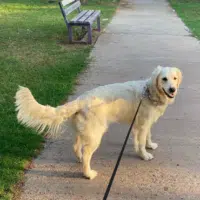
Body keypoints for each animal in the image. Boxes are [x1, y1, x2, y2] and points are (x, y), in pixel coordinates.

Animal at [14, 65, 182, 180]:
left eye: (174, 78)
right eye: (164, 79)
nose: (172, 89)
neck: (149, 92)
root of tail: (81, 99)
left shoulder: (145, 123)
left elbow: (147, 136)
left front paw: (150, 145)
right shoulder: (142, 124)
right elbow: (140, 142)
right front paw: (144, 155)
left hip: (84, 132)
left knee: (77, 148)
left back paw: (80, 160)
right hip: (95, 135)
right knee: (87, 154)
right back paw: (88, 173)